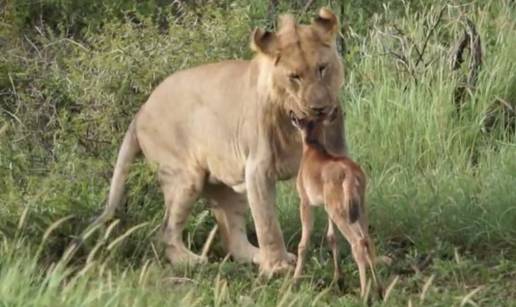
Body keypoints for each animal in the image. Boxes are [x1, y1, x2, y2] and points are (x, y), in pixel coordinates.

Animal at [94, 7, 348, 276]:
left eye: (322, 68)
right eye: (295, 77)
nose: (319, 108)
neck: (298, 126)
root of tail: (141, 109)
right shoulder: (258, 169)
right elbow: (267, 222)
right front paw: (277, 267)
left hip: (227, 181)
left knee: (233, 238)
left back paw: (257, 256)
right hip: (185, 177)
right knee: (165, 231)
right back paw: (191, 261)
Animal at [290, 110, 382, 298]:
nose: (291, 114)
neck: (312, 148)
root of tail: (351, 176)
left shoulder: (305, 201)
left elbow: (303, 244)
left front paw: (295, 282)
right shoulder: (327, 208)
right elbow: (332, 237)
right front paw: (338, 280)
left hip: (340, 212)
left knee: (358, 243)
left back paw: (365, 295)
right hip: (358, 209)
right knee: (368, 241)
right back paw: (380, 290)